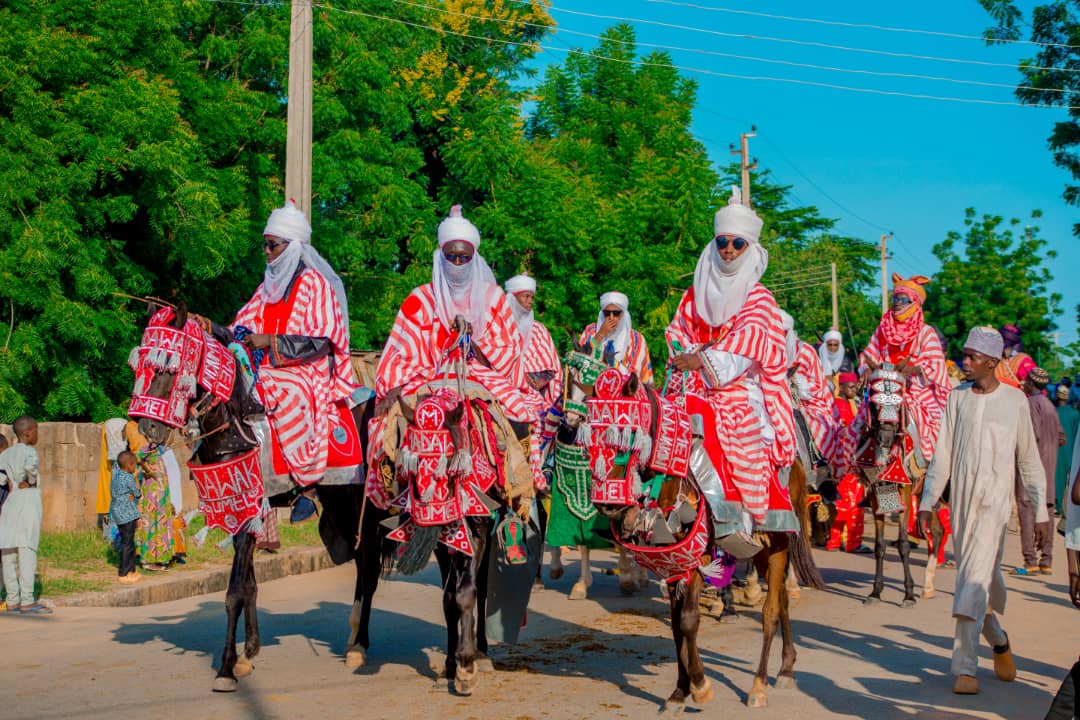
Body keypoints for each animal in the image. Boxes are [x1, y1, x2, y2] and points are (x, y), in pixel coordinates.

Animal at [129, 304, 393, 690]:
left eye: (170, 365)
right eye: (142, 364)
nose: (147, 428)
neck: (235, 425)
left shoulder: (249, 511)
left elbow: (234, 592)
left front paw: (226, 668)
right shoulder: (243, 511)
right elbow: (250, 586)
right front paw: (248, 652)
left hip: (364, 506)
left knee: (369, 567)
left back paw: (358, 646)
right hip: (340, 506)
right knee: (362, 562)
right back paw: (355, 641)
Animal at [561, 351, 820, 712]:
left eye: (626, 433)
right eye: (589, 440)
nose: (606, 505)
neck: (671, 477)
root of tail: (794, 461)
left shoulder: (698, 558)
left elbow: (688, 619)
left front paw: (699, 686)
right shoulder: (671, 562)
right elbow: (675, 625)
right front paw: (679, 692)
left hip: (780, 539)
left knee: (770, 611)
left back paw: (759, 684)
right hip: (763, 549)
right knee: (780, 599)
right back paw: (786, 668)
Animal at [846, 362, 941, 604]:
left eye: (898, 403)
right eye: (874, 403)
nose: (885, 439)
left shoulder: (905, 494)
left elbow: (903, 544)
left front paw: (908, 593)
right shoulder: (875, 495)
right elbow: (879, 546)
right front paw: (876, 591)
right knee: (937, 532)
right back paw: (928, 585)